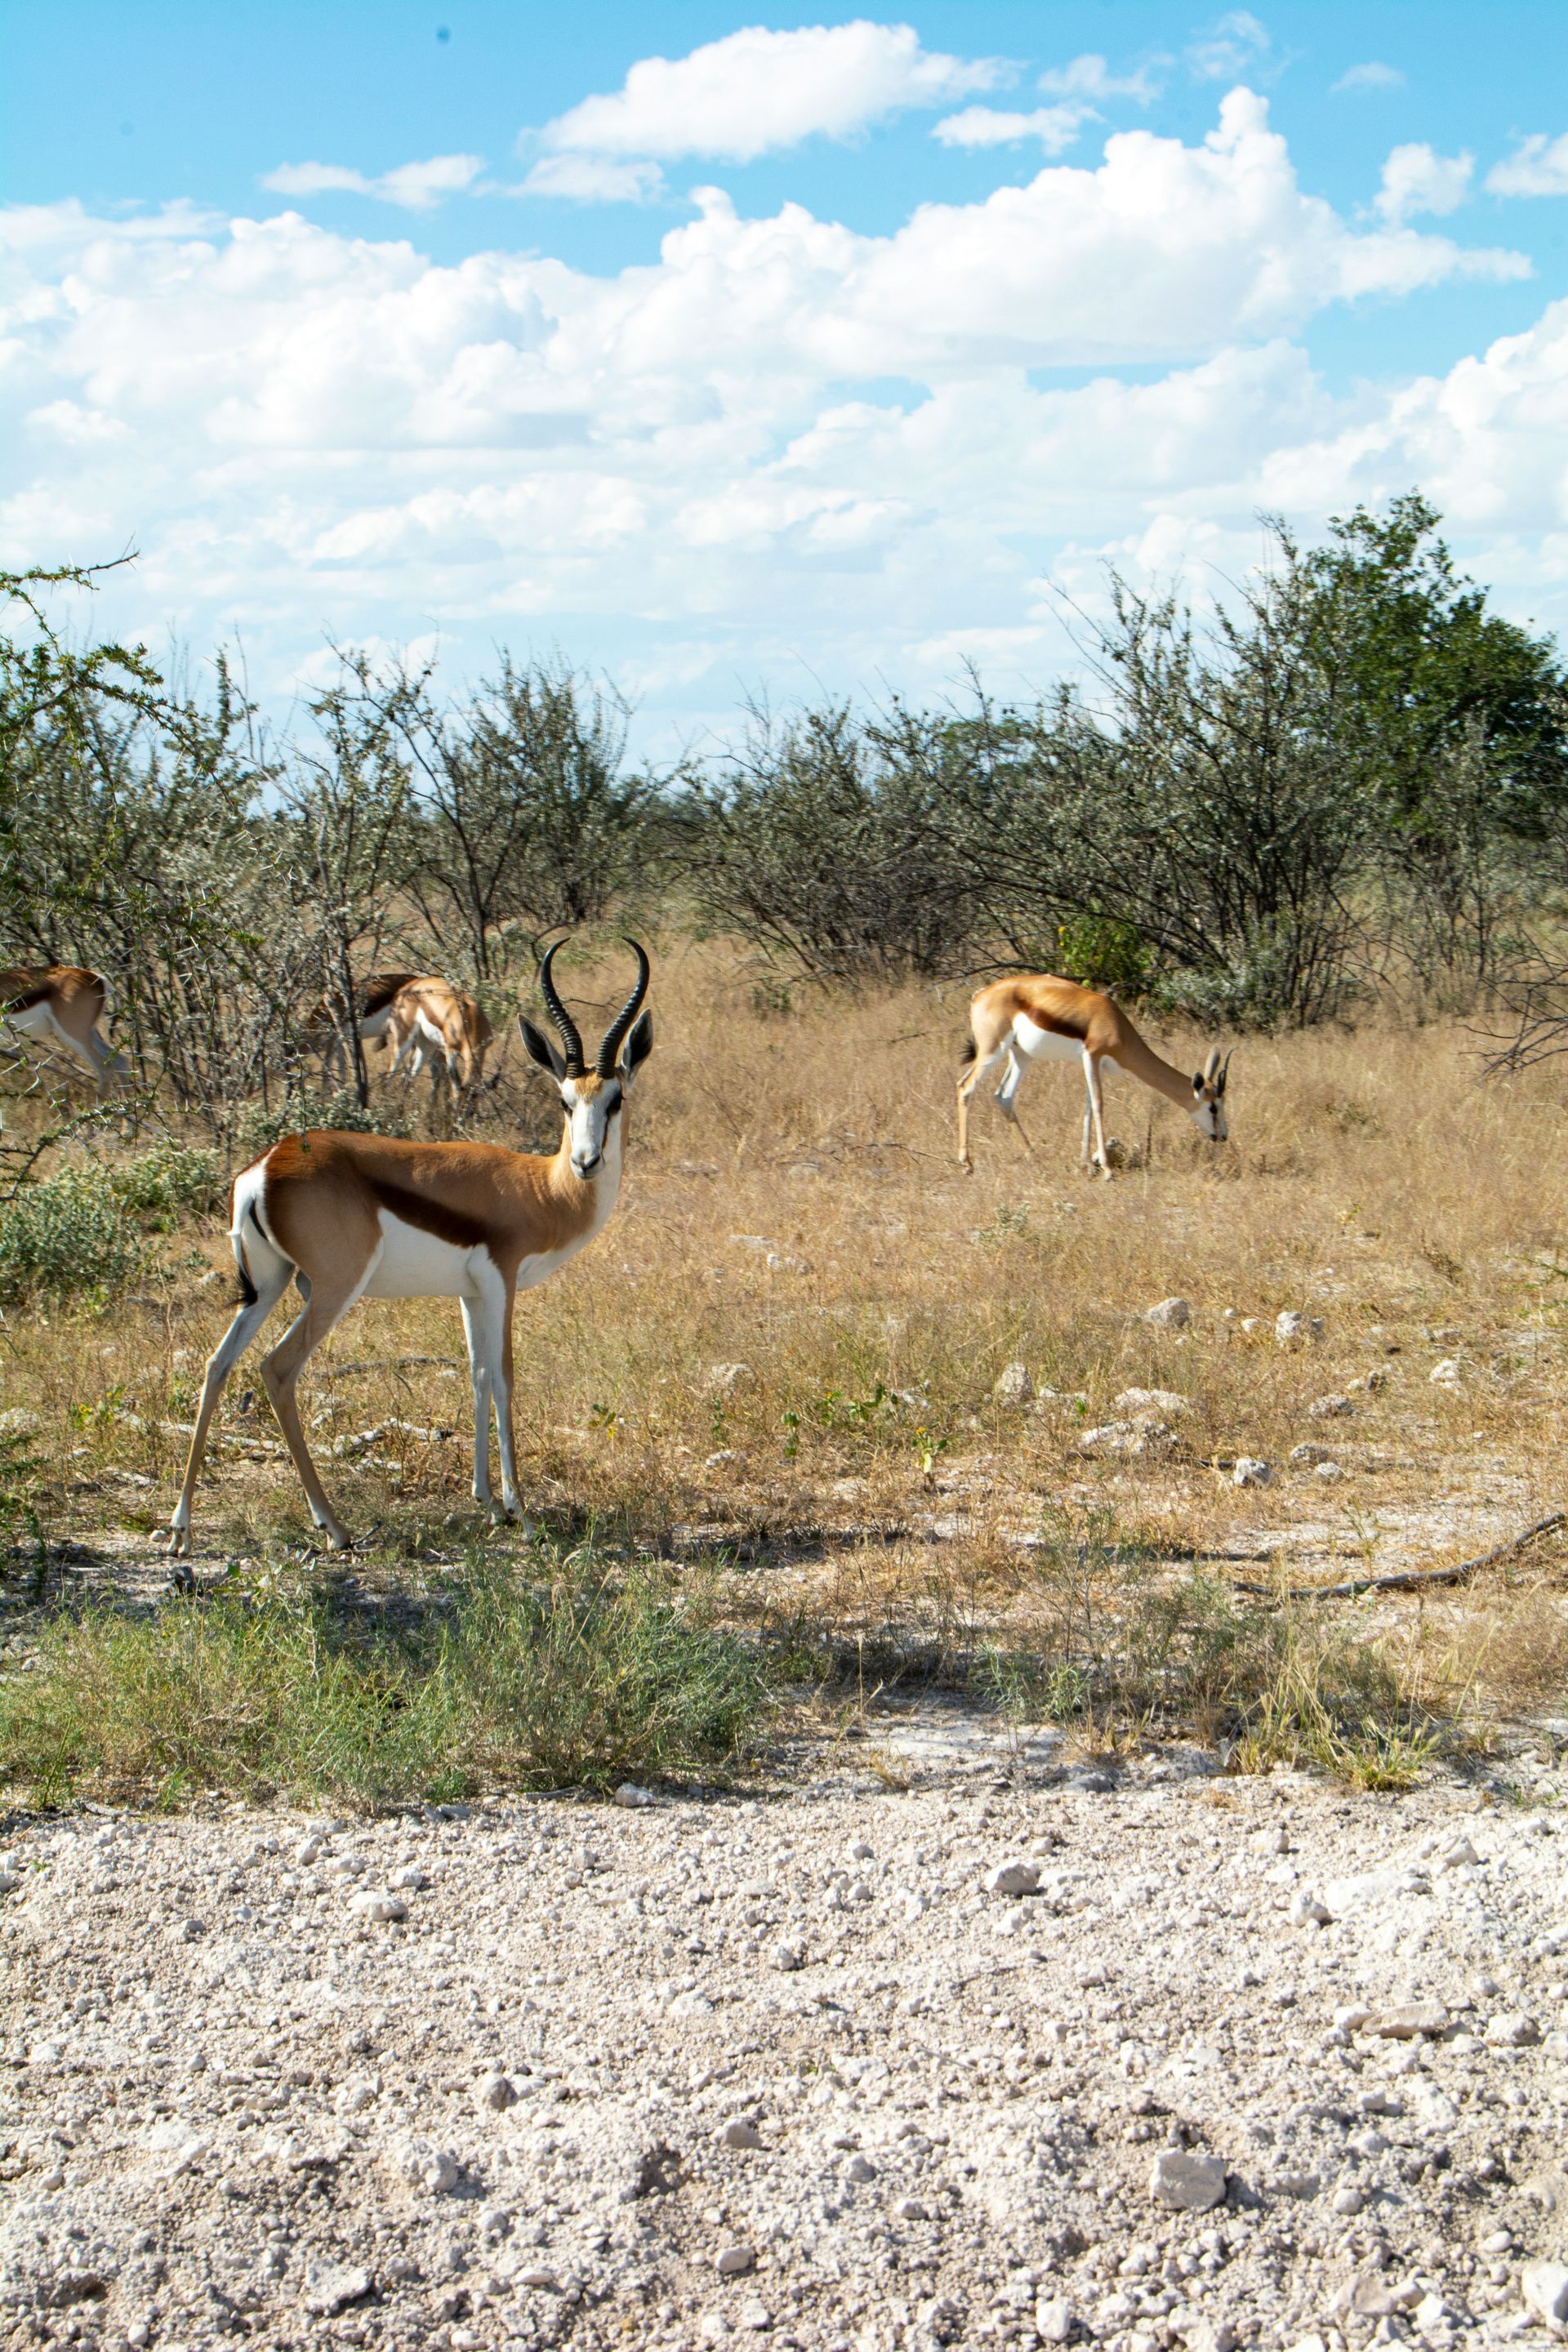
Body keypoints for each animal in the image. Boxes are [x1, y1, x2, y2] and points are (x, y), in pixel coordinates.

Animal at [165, 941, 652, 1561]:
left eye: (614, 1099)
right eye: (565, 1102)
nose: (586, 1161)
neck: (541, 1189)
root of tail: (266, 1165)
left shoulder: (471, 1294)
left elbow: (476, 1374)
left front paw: (486, 1503)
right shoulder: (502, 1282)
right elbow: (504, 1376)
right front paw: (522, 1513)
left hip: (269, 1287)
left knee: (217, 1364)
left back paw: (180, 1528)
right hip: (332, 1290)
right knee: (276, 1369)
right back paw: (333, 1525)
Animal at [958, 972, 1229, 1176]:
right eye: (1213, 1107)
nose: (1223, 1136)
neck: (1114, 1022)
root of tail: (980, 994)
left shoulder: (1095, 1066)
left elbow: (1088, 1108)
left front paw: (1086, 1163)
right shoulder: (1092, 1057)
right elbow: (1099, 1106)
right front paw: (1107, 1169)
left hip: (1021, 1055)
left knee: (1004, 1096)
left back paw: (1033, 1155)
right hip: (992, 1050)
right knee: (965, 1087)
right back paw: (967, 1164)